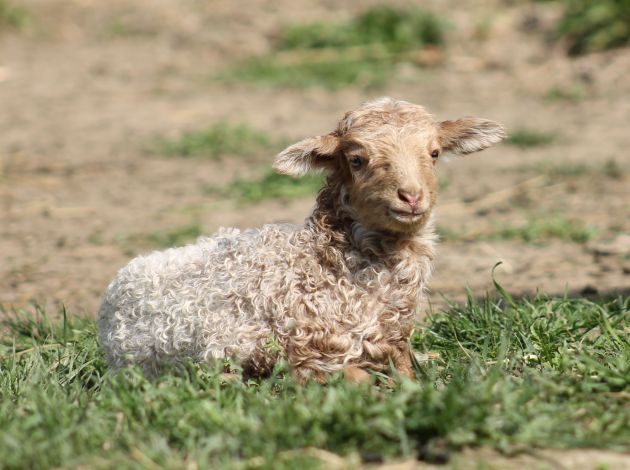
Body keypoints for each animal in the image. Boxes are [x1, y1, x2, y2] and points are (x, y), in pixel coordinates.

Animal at [96, 97, 506, 384]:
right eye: (356, 159)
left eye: (434, 153)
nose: (411, 196)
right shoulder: (306, 349)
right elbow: (346, 376)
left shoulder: (392, 341)